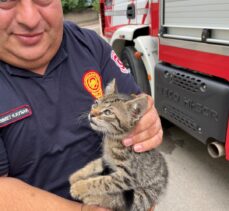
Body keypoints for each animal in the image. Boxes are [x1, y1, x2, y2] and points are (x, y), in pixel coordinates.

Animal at [70, 79, 168, 211]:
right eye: (96, 103)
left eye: (107, 112)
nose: (91, 114)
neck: (113, 139)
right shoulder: (106, 159)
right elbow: (93, 165)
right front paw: (76, 176)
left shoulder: (127, 176)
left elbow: (100, 182)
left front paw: (79, 187)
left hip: (144, 195)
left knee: (119, 201)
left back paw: (92, 198)